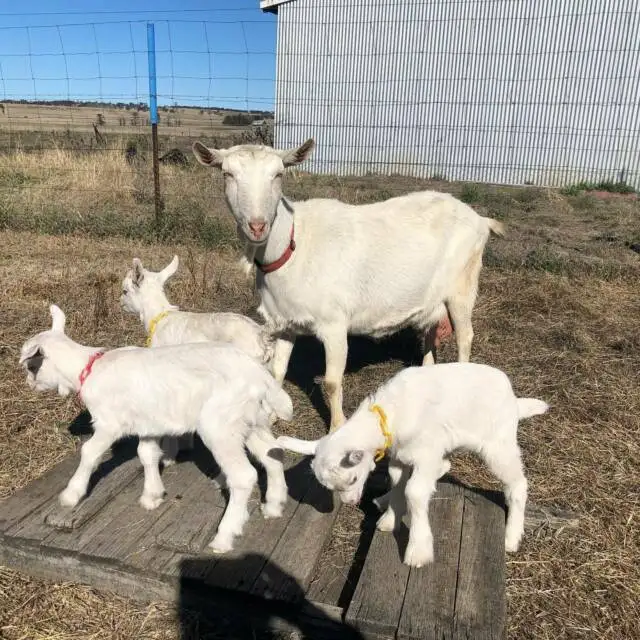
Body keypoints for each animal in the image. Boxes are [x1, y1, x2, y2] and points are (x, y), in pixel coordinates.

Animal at [19, 304, 293, 553]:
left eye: (31, 366)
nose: (29, 384)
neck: (88, 369)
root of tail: (260, 376)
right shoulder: (147, 424)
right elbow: (147, 454)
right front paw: (152, 496)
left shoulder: (109, 423)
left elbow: (90, 452)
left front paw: (71, 495)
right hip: (252, 421)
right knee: (272, 453)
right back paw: (274, 506)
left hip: (220, 425)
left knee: (244, 476)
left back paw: (224, 537)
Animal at [192, 139, 505, 431]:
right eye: (227, 174)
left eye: (279, 174)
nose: (257, 226)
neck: (293, 245)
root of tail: (480, 219)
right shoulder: (284, 320)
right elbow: (277, 371)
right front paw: (272, 416)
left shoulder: (334, 324)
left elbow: (331, 382)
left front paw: (336, 426)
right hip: (430, 296)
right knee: (428, 331)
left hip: (463, 283)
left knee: (465, 336)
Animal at [276, 362, 549, 568]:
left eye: (352, 479)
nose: (351, 502)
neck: (389, 416)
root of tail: (513, 399)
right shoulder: (401, 456)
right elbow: (397, 482)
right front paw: (390, 517)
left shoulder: (427, 452)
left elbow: (414, 492)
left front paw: (418, 550)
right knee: (446, 466)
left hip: (497, 445)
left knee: (517, 483)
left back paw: (512, 536)